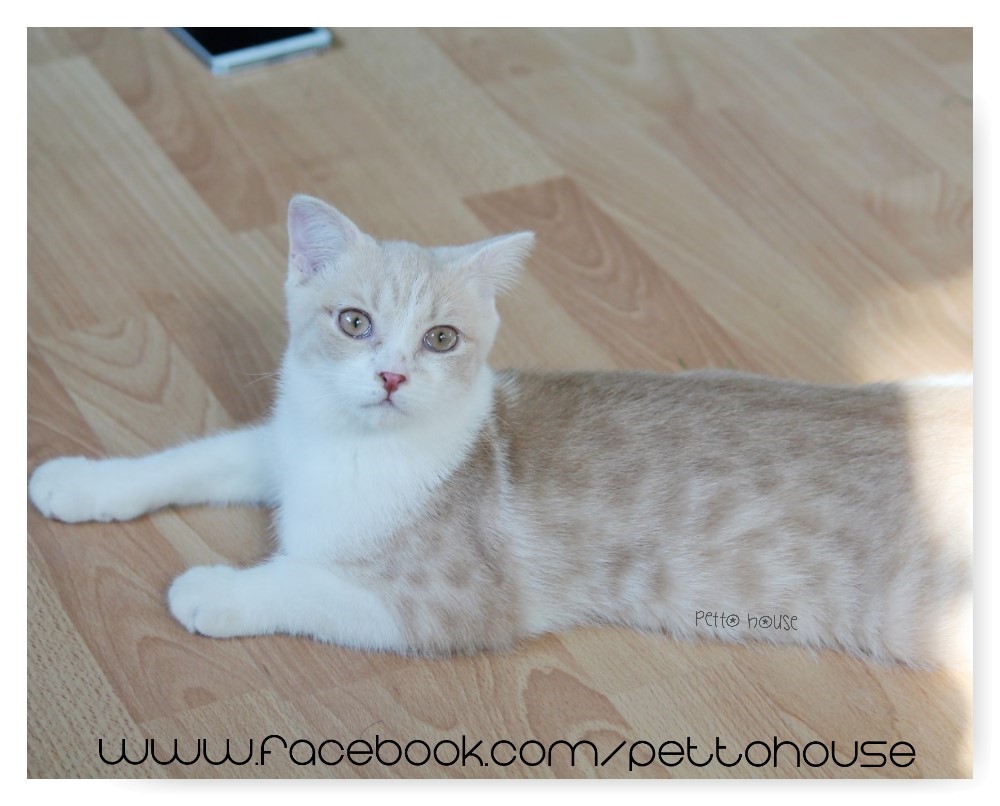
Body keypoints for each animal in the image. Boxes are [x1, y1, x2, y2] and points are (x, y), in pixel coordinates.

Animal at [28, 195, 972, 668]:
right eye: (355, 322)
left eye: (442, 339)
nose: (392, 376)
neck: (350, 455)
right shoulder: (281, 442)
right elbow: (194, 455)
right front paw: (78, 481)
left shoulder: (446, 603)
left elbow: (300, 581)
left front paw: (214, 589)